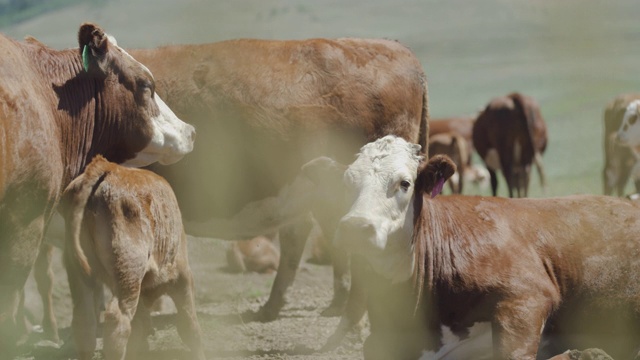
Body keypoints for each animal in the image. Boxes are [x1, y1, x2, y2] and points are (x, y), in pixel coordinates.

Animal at [61, 156, 204, 360]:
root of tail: (107, 167)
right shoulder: (182, 277)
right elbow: (190, 326)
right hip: (128, 272)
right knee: (117, 320)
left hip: (79, 271)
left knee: (84, 322)